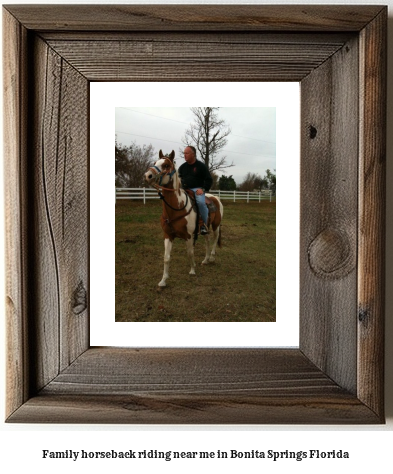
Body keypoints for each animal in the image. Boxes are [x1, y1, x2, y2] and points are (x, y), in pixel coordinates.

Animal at [145, 150, 224, 286]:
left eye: (166, 165)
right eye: (155, 162)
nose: (148, 175)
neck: (176, 208)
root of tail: (215, 198)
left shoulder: (188, 236)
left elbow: (190, 253)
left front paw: (192, 270)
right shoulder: (168, 235)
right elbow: (166, 258)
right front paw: (163, 280)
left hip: (216, 225)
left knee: (215, 238)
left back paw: (212, 257)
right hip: (206, 227)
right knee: (207, 241)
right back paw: (206, 259)